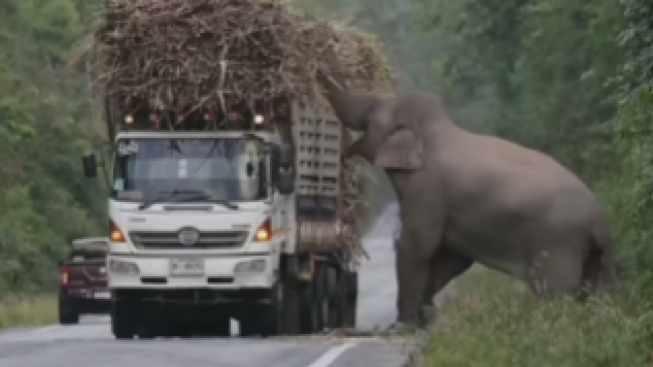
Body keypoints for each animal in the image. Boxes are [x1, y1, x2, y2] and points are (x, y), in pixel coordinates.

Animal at [318, 75, 620, 328]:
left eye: (371, 112)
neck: (435, 128)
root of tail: (599, 222)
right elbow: (453, 259)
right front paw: (427, 319)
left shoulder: (427, 191)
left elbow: (417, 247)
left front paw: (403, 326)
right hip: (597, 255)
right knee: (597, 291)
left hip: (557, 244)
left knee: (557, 294)